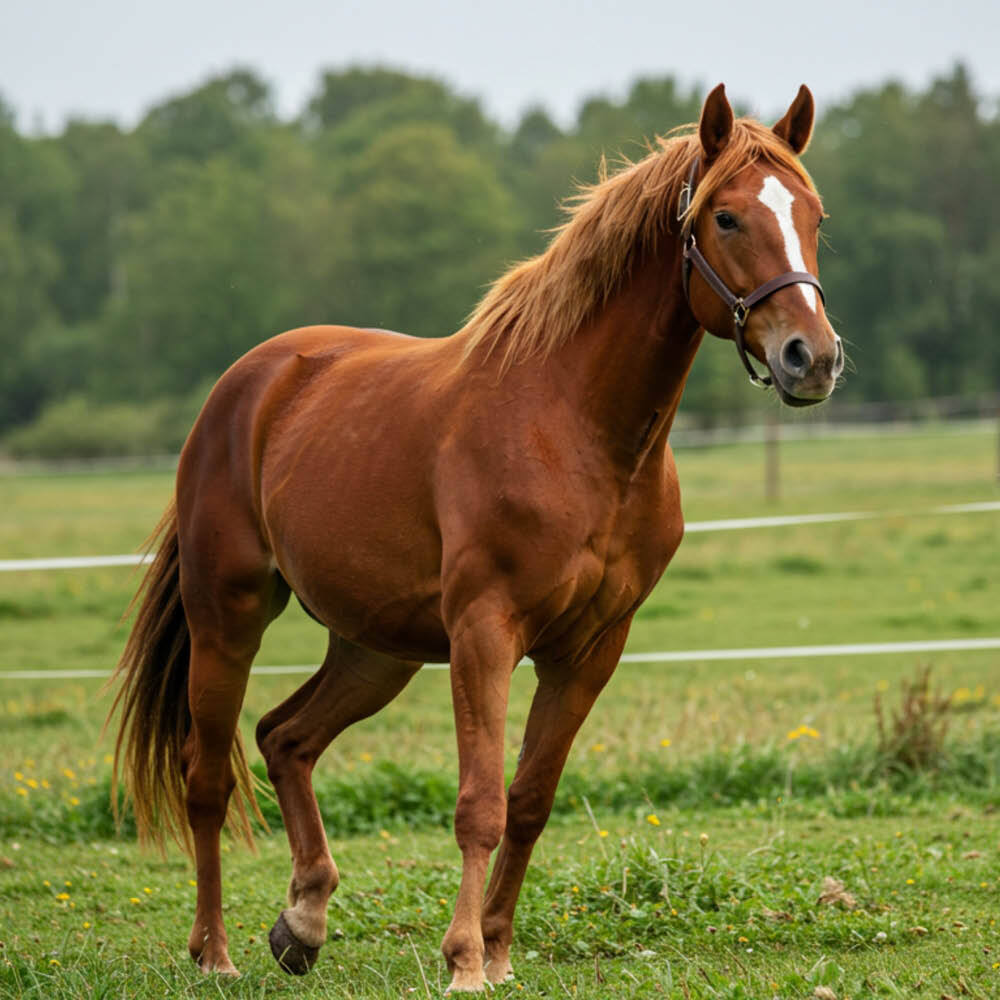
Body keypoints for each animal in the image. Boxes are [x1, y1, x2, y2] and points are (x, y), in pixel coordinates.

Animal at [110, 82, 843, 991]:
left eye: (813, 214)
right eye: (728, 217)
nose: (812, 358)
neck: (577, 429)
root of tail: (245, 386)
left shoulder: (590, 648)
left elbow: (529, 801)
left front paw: (495, 949)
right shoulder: (485, 634)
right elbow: (479, 804)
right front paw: (462, 958)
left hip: (375, 649)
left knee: (285, 737)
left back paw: (303, 923)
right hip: (229, 619)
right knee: (207, 777)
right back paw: (214, 953)